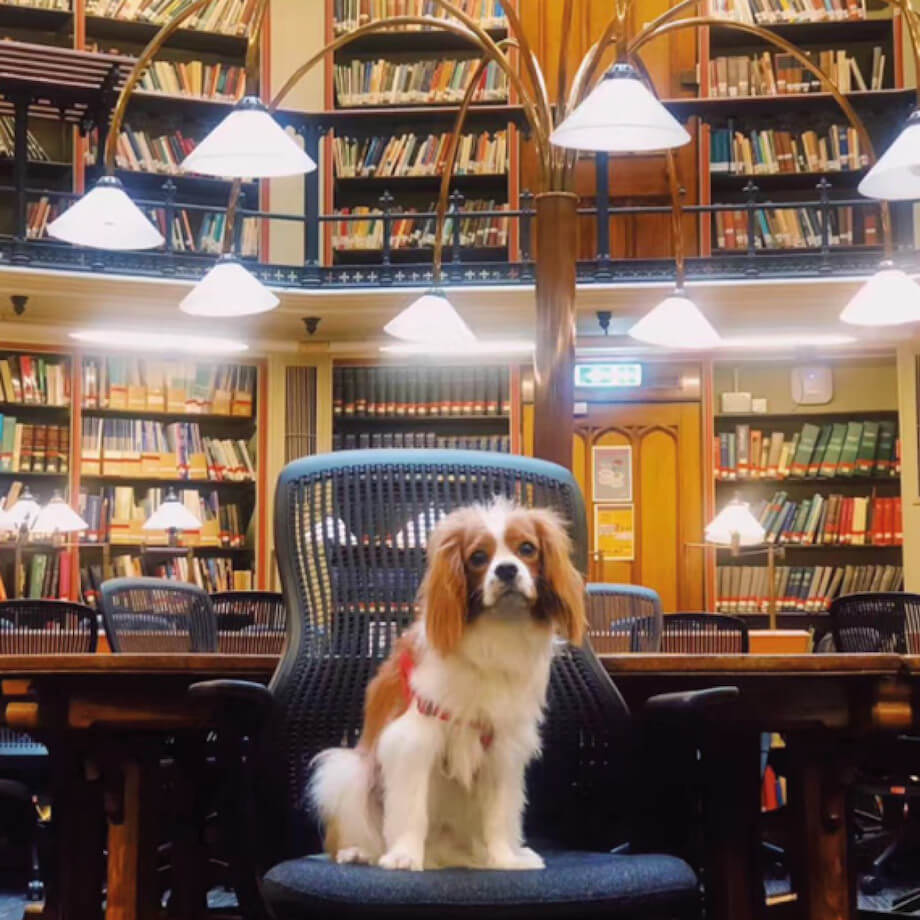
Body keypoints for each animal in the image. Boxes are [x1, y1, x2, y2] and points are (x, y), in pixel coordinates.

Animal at [310, 500, 584, 872]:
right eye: (478, 557)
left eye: (527, 549)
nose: (506, 570)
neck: (497, 631)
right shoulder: (414, 737)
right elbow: (411, 808)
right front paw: (404, 856)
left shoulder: (502, 748)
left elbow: (498, 815)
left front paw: (504, 858)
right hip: (349, 772)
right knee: (357, 834)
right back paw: (359, 852)